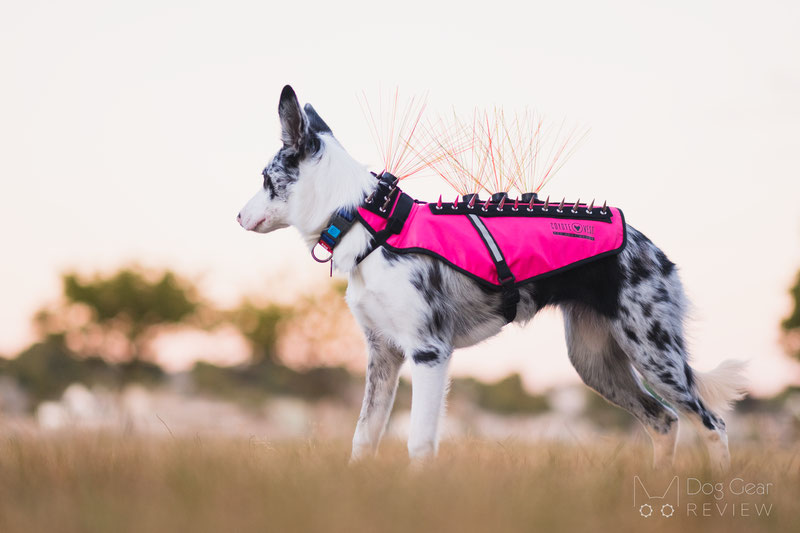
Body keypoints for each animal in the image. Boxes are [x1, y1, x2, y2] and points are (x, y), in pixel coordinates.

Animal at [236, 86, 744, 470]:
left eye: (265, 178)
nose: (236, 216)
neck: (372, 223)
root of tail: (652, 248)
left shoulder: (429, 353)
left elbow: (419, 442)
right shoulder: (383, 355)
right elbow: (365, 437)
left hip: (654, 356)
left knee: (711, 425)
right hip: (596, 363)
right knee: (665, 422)